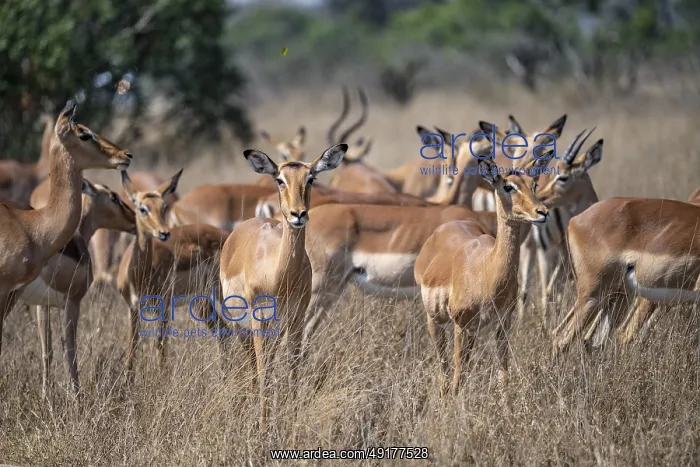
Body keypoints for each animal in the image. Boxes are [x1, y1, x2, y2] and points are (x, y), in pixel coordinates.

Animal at [21, 179, 135, 397]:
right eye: (114, 196)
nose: (134, 218)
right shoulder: (73, 302)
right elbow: (70, 350)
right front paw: (77, 396)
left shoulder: (42, 305)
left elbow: (47, 351)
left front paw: (45, 396)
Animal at [117, 169, 229, 373]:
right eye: (142, 208)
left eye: (163, 206)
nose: (163, 233)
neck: (138, 276)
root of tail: (228, 236)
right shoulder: (132, 309)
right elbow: (132, 350)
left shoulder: (164, 307)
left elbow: (160, 346)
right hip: (201, 302)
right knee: (224, 331)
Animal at [219, 144, 347, 427]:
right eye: (280, 179)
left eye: (311, 178)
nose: (298, 214)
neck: (279, 277)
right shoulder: (259, 320)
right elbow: (263, 371)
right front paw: (263, 425)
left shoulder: (296, 319)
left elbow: (293, 369)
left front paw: (290, 420)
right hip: (240, 325)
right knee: (252, 365)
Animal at [414, 155, 551, 396]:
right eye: (508, 186)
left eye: (533, 184)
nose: (542, 212)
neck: (487, 271)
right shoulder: (461, 324)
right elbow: (458, 376)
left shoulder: (502, 325)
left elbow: (503, 376)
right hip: (435, 321)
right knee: (443, 368)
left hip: (471, 331)